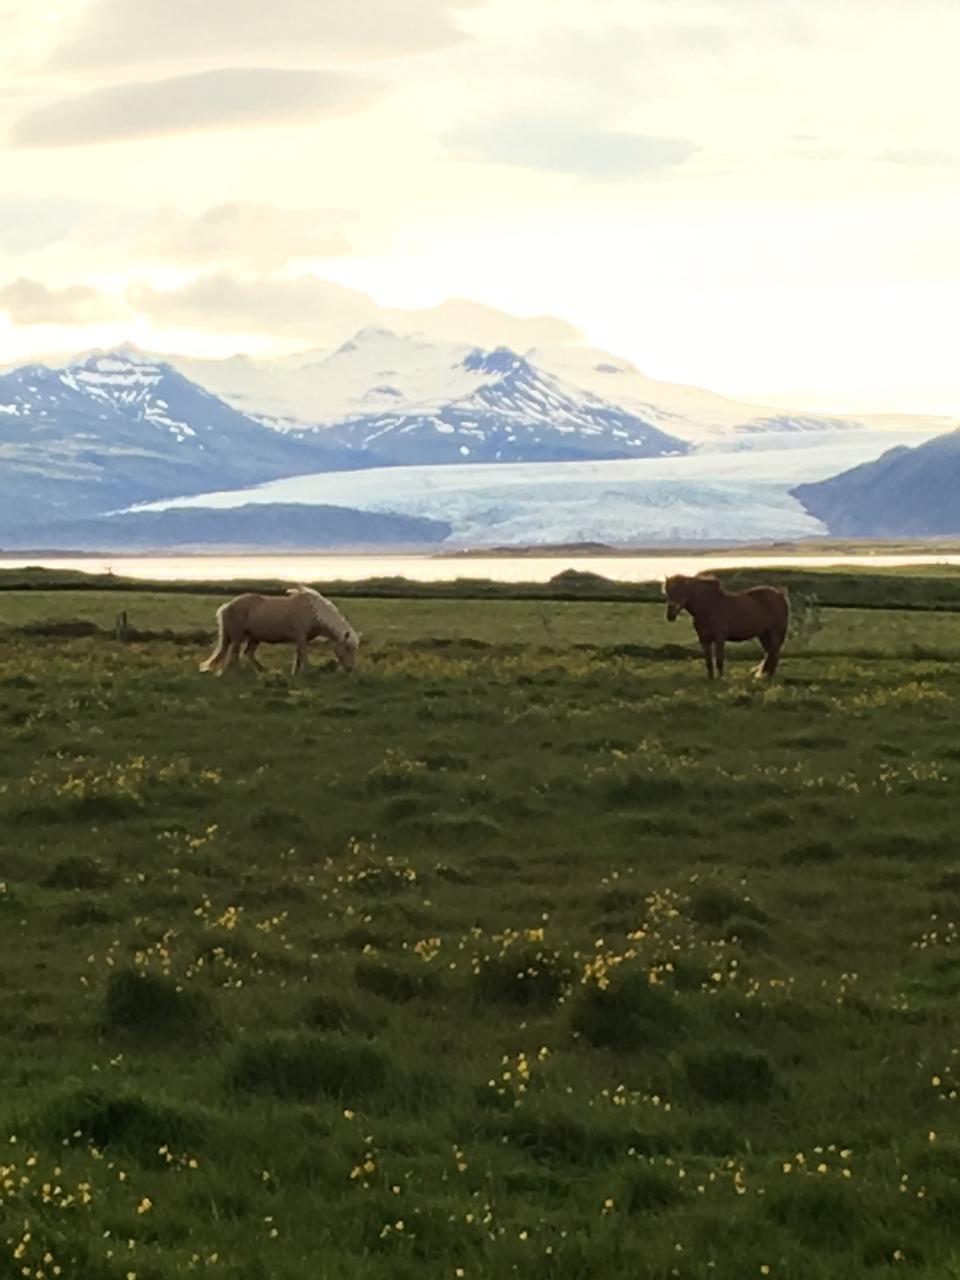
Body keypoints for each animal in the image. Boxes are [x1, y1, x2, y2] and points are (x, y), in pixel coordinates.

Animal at [199, 583, 360, 675]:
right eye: (347, 647)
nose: (350, 669)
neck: (313, 612)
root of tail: (227, 606)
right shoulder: (301, 637)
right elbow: (304, 656)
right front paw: (308, 672)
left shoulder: (301, 639)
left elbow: (299, 656)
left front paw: (295, 673)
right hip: (238, 637)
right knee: (235, 655)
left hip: (254, 637)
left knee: (248, 653)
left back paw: (262, 671)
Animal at [665, 576, 793, 680]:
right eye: (667, 592)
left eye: (680, 591)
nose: (670, 615)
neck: (709, 606)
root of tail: (780, 595)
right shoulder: (704, 639)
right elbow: (708, 661)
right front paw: (711, 679)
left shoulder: (720, 638)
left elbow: (719, 660)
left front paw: (721, 679)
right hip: (763, 634)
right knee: (769, 653)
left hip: (775, 631)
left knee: (774, 652)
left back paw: (769, 677)